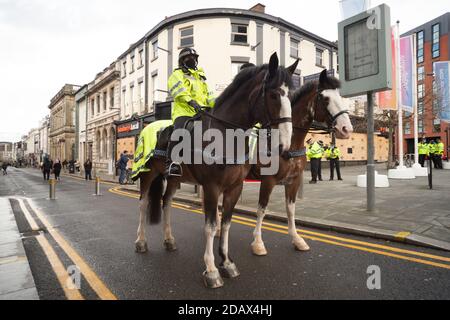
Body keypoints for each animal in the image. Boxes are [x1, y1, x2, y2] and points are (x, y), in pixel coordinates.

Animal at [134, 53, 302, 288]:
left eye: (292, 96)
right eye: (274, 95)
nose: (285, 146)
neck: (225, 135)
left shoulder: (235, 187)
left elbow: (226, 224)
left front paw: (227, 263)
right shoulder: (212, 187)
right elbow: (211, 226)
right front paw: (212, 270)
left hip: (174, 178)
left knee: (166, 203)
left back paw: (169, 240)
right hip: (147, 174)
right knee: (143, 204)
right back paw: (141, 241)